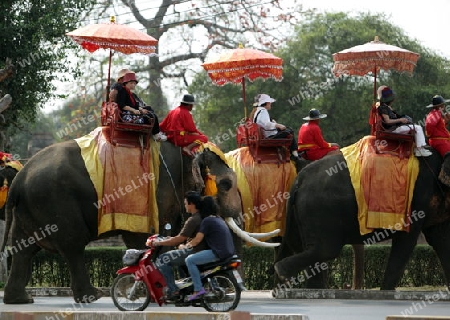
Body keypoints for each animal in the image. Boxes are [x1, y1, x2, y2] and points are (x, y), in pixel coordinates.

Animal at [0, 137, 276, 302]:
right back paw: (92, 296)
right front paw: (151, 292)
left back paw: (21, 300)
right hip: (55, 201)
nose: (229, 293)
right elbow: (149, 236)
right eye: (227, 184)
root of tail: (19, 178)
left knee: (24, 249)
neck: (185, 151)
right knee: (73, 246)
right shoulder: (158, 189)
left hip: (31, 207)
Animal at [272, 150, 450, 290]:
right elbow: (407, 240)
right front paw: (385, 293)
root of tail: (299, 179)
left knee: (307, 249)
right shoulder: (416, 200)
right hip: (319, 209)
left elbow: (440, 240)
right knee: (326, 249)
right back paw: (282, 273)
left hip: (301, 213)